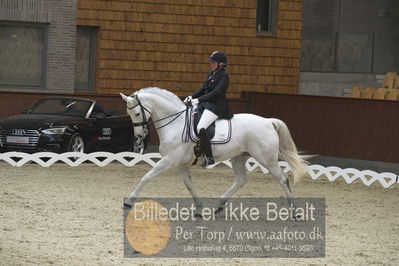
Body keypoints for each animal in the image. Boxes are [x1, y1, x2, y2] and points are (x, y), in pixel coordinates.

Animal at [120, 88, 308, 216]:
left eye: (136, 113)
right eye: (129, 113)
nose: (139, 136)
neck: (176, 123)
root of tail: (268, 122)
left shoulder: (169, 160)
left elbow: (147, 177)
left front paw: (129, 201)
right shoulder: (180, 164)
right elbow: (189, 185)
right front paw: (199, 208)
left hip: (266, 159)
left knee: (283, 179)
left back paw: (294, 211)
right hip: (238, 157)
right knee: (241, 180)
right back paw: (219, 204)